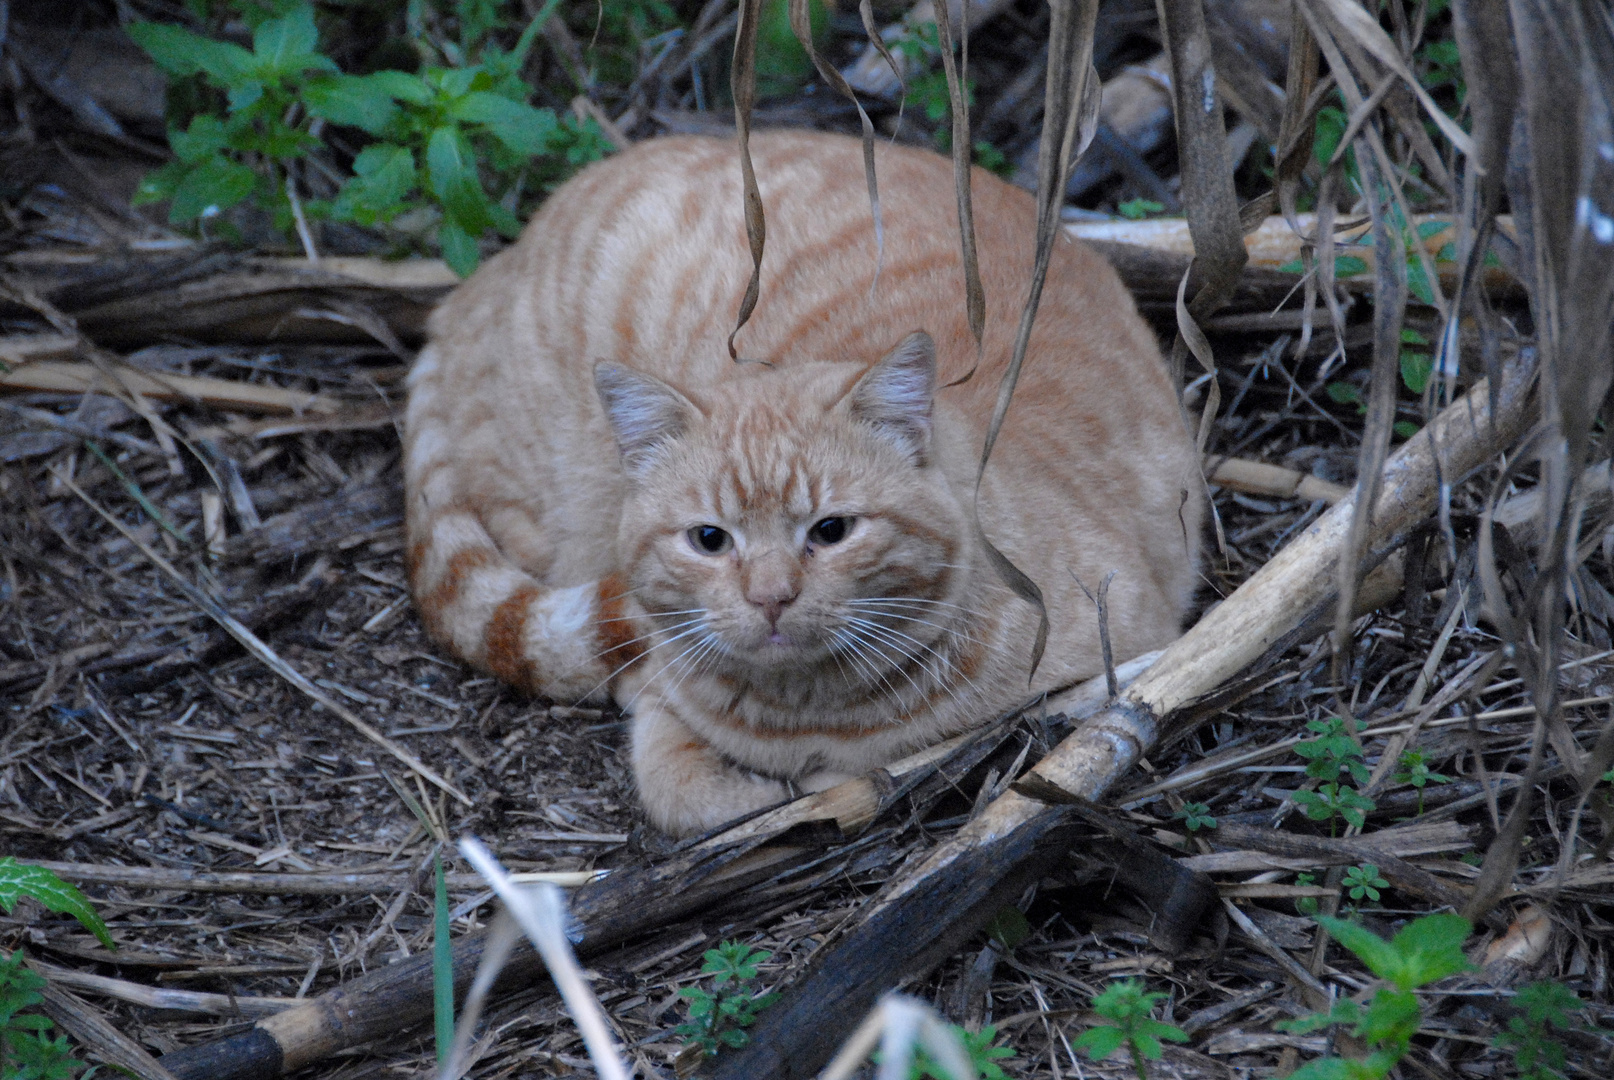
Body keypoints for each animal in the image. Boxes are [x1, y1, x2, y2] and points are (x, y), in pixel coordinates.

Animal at [409, 126, 1207, 833]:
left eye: (832, 531)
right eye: (709, 540)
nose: (770, 598)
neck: (808, 714)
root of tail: (479, 278)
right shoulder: (671, 711)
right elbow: (684, 790)